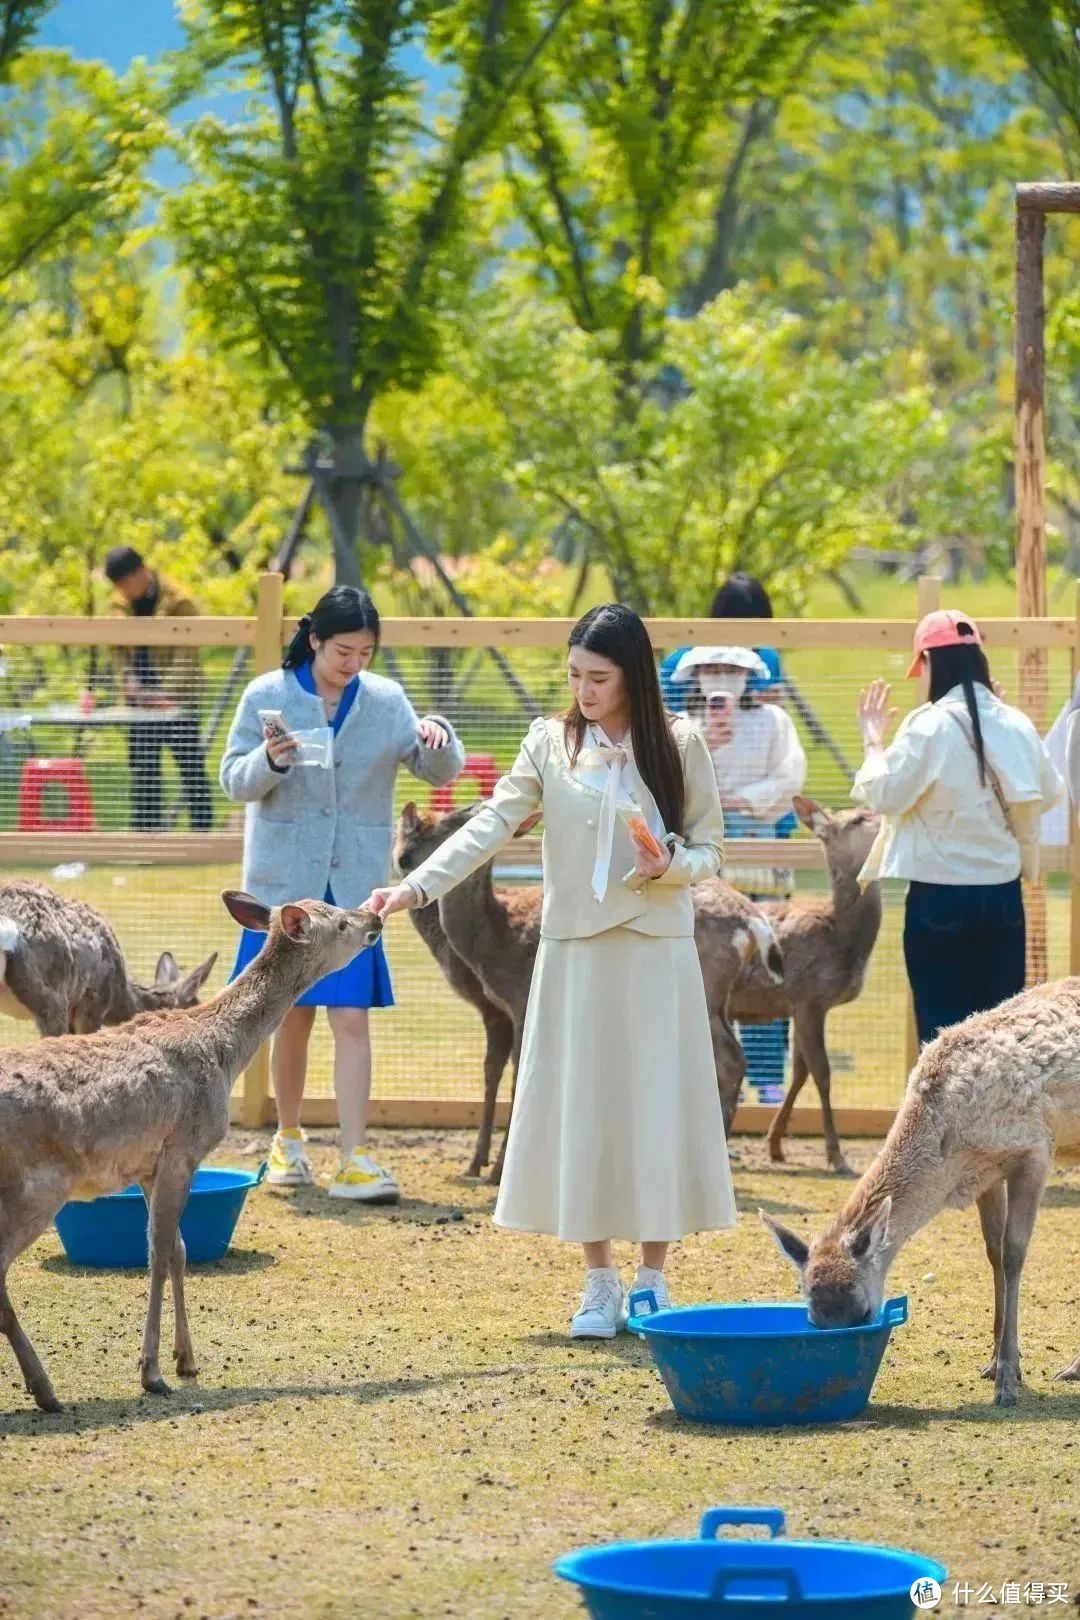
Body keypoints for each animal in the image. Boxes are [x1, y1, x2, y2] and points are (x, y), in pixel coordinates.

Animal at [0, 894, 383, 1412]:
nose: (375, 917)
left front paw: (187, 1360)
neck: (225, 1054)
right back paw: (44, 1389)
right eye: (340, 921)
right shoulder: (183, 1148)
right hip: (33, 1188)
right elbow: (160, 1254)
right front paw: (151, 1372)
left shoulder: (150, 1166)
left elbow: (180, 1251)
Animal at [393, 803, 780, 1185]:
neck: (494, 941)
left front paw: (498, 1171)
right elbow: (491, 1072)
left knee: (727, 1060)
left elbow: (518, 1078)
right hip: (719, 1000)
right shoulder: (496, 1010)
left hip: (706, 990)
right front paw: (476, 1164)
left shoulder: (518, 1001)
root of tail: (754, 923)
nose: (403, 857)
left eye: (451, 820)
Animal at [712, 800, 880, 1172]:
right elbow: (823, 1073)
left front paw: (775, 1145)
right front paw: (836, 1156)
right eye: (858, 818)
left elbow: (801, 1072)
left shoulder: (800, 1005)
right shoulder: (808, 996)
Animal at [761, 972, 1080, 1406]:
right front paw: (994, 1363)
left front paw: (1007, 1382)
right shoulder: (986, 1173)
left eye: (864, 1313)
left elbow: (1014, 1254)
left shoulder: (1034, 1149)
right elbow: (993, 1252)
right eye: (812, 1316)